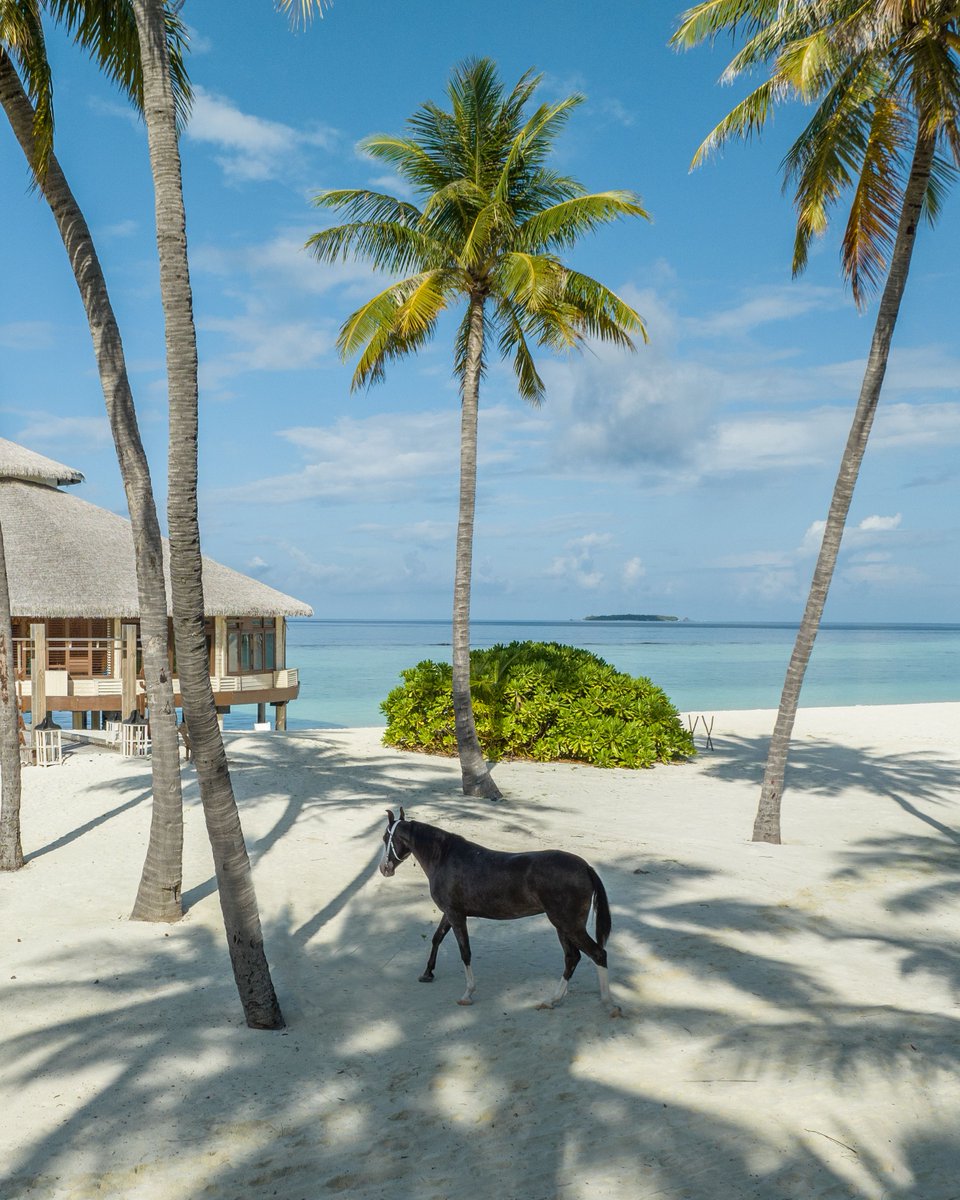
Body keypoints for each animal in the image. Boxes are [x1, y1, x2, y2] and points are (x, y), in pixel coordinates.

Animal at [379, 808, 619, 1013]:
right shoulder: (450, 913)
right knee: (572, 957)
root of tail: (586, 867)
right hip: (562, 926)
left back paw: (608, 1003)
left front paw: (467, 993)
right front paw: (427, 973)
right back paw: (553, 999)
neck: (444, 857)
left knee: (597, 954)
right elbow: (437, 938)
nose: (383, 868)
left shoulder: (456, 916)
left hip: (569, 925)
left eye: (384, 838)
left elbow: (465, 952)